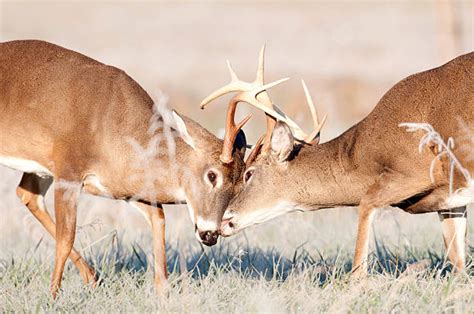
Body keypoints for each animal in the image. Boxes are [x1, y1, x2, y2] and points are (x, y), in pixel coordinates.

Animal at [0, 40, 286, 298]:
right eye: (212, 175)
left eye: (241, 184)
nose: (210, 234)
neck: (116, 129)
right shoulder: (69, 170)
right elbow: (66, 237)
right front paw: (53, 296)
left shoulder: (125, 187)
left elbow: (158, 219)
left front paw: (163, 291)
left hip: (40, 169)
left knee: (27, 194)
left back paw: (94, 277)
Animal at [202, 51, 472, 278]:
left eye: (248, 173)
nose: (222, 222)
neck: (363, 157)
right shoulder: (450, 200)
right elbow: (457, 261)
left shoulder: (414, 171)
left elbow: (365, 212)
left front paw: (357, 285)